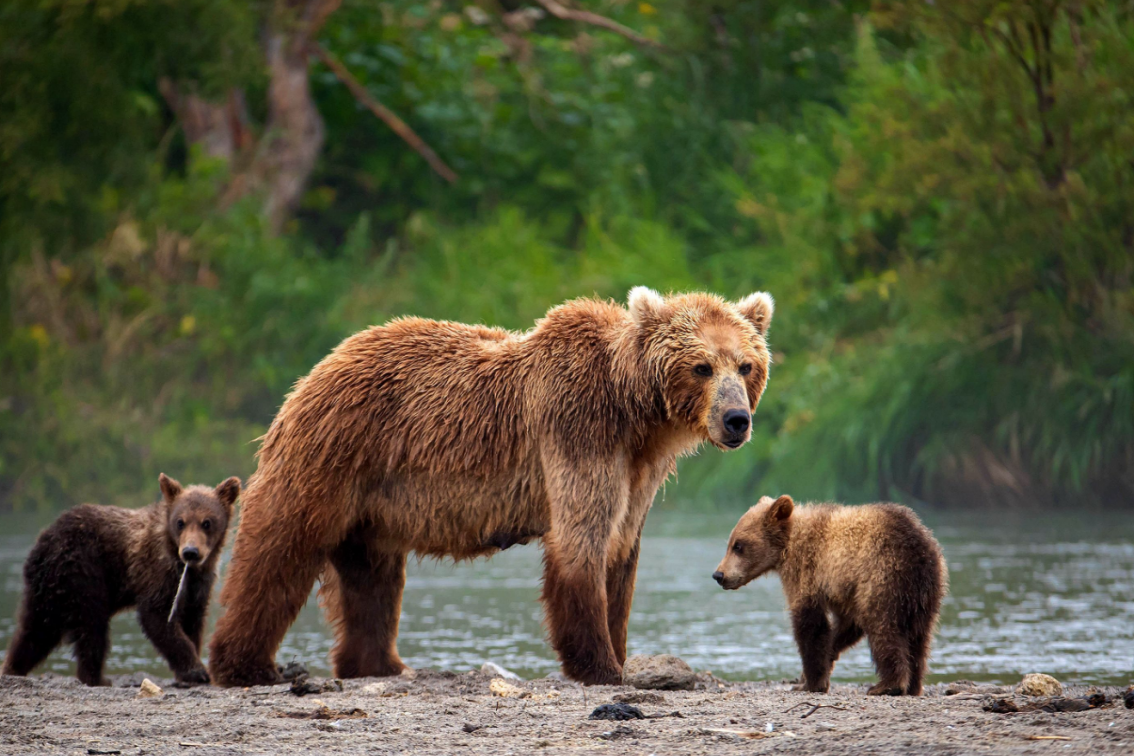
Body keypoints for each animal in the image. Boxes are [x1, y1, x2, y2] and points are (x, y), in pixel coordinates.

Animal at [208, 287, 775, 684]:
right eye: (702, 366)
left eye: (746, 364)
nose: (736, 419)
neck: (636, 412)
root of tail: (317, 370)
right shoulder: (578, 430)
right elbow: (581, 543)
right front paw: (601, 666)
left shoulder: (639, 470)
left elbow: (620, 550)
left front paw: (620, 651)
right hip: (333, 452)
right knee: (279, 548)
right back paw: (246, 665)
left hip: (374, 499)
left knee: (371, 577)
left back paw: (381, 665)